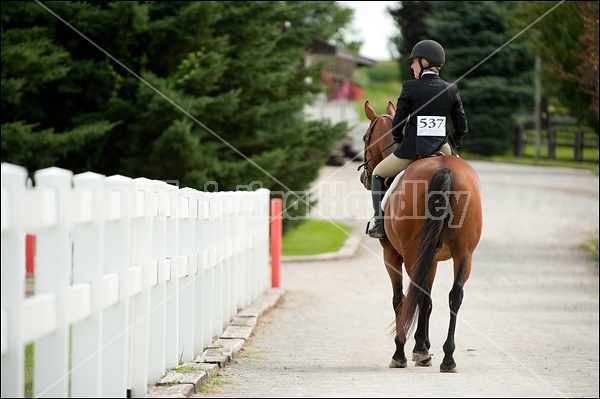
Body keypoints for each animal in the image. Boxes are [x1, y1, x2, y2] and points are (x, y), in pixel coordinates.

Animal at [360, 99, 482, 372]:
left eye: (364, 138)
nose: (364, 177)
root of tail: (444, 168)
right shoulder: (432, 257)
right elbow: (428, 299)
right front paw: (423, 347)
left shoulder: (392, 255)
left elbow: (401, 298)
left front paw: (410, 350)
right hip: (463, 253)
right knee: (455, 295)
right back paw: (448, 357)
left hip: (410, 252)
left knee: (414, 294)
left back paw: (402, 352)